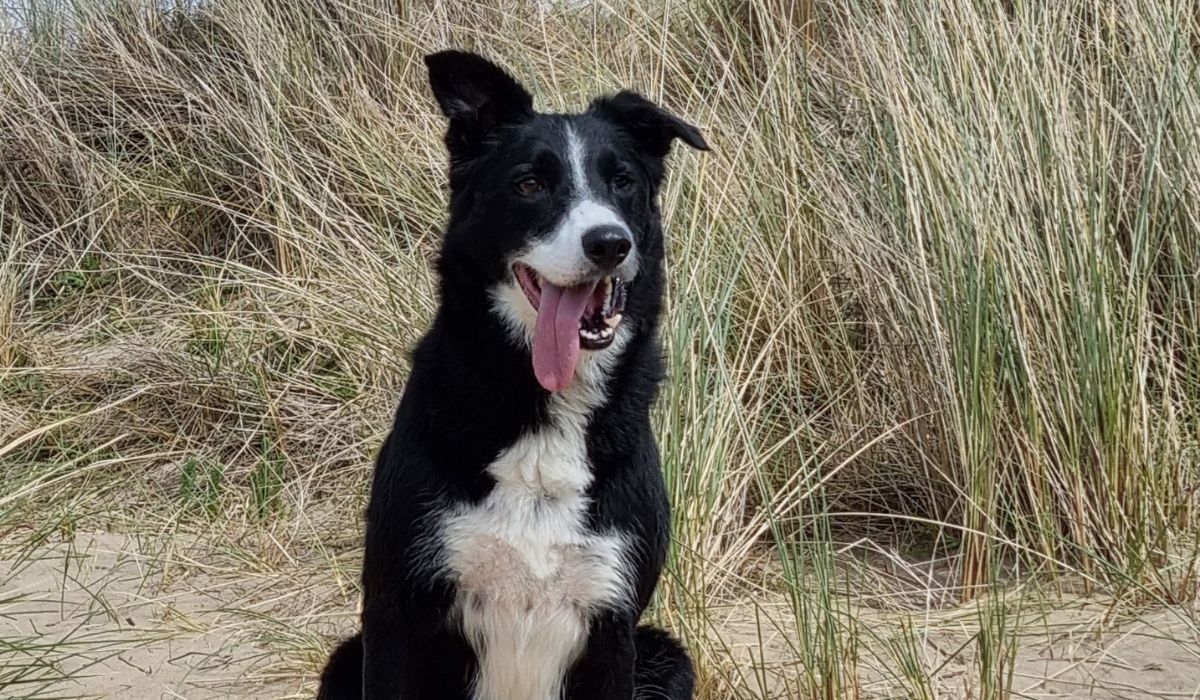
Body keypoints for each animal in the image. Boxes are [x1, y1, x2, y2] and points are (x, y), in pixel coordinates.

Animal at [324, 50, 705, 700]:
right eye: (530, 184)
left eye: (622, 182)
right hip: (346, 659)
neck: (545, 407)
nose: (609, 243)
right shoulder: (397, 610)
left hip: (667, 656)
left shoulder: (613, 620)